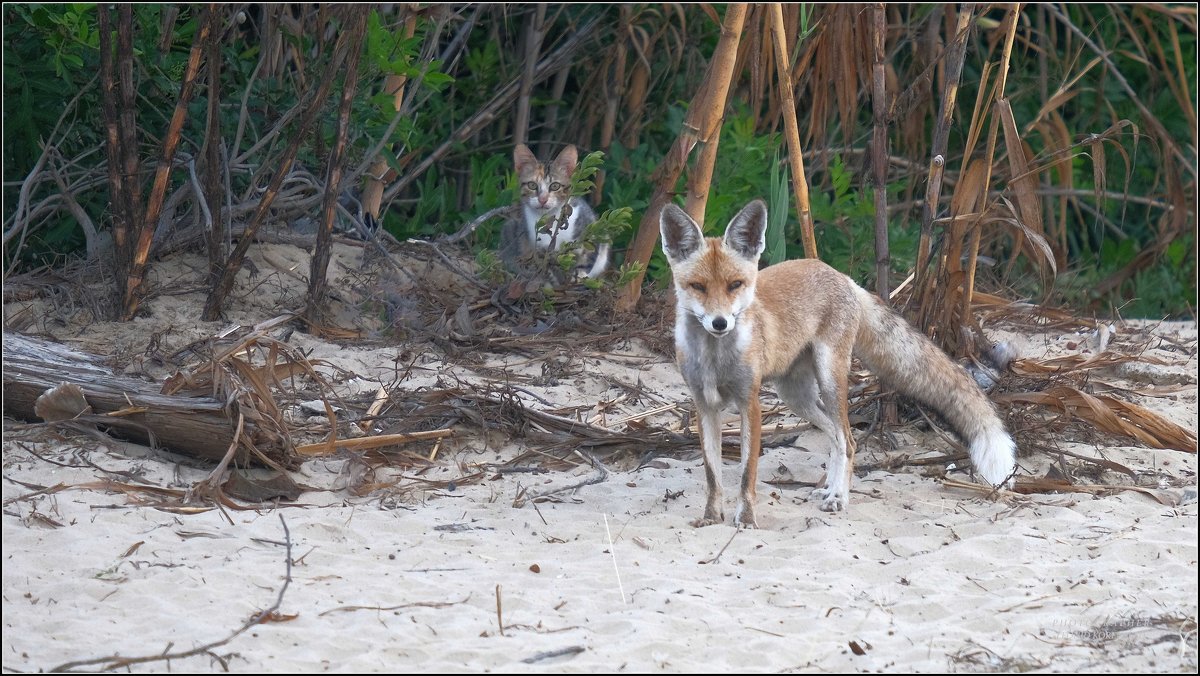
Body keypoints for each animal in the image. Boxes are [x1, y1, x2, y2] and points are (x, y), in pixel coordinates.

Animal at [496, 144, 609, 278]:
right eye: (532, 185)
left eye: (555, 186)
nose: (543, 199)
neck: (550, 220)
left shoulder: (589, 225)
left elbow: (588, 255)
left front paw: (580, 275)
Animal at [662, 199, 1017, 528]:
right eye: (698, 287)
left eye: (735, 284)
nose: (720, 323)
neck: (714, 359)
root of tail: (842, 276)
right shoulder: (704, 407)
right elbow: (712, 475)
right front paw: (711, 517)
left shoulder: (750, 404)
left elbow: (747, 474)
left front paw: (746, 519)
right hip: (796, 396)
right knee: (836, 436)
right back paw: (830, 489)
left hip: (829, 379)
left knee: (848, 439)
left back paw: (838, 497)